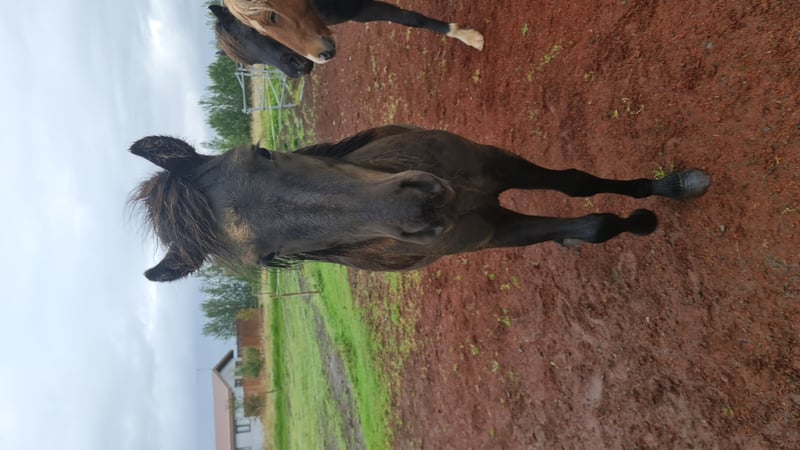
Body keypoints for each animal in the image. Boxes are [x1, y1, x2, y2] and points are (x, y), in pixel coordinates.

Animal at [129, 125, 711, 282]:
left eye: (264, 151)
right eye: (268, 259)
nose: (422, 209)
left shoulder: (496, 163)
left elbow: (575, 183)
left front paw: (674, 186)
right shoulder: (494, 231)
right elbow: (593, 224)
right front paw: (638, 222)